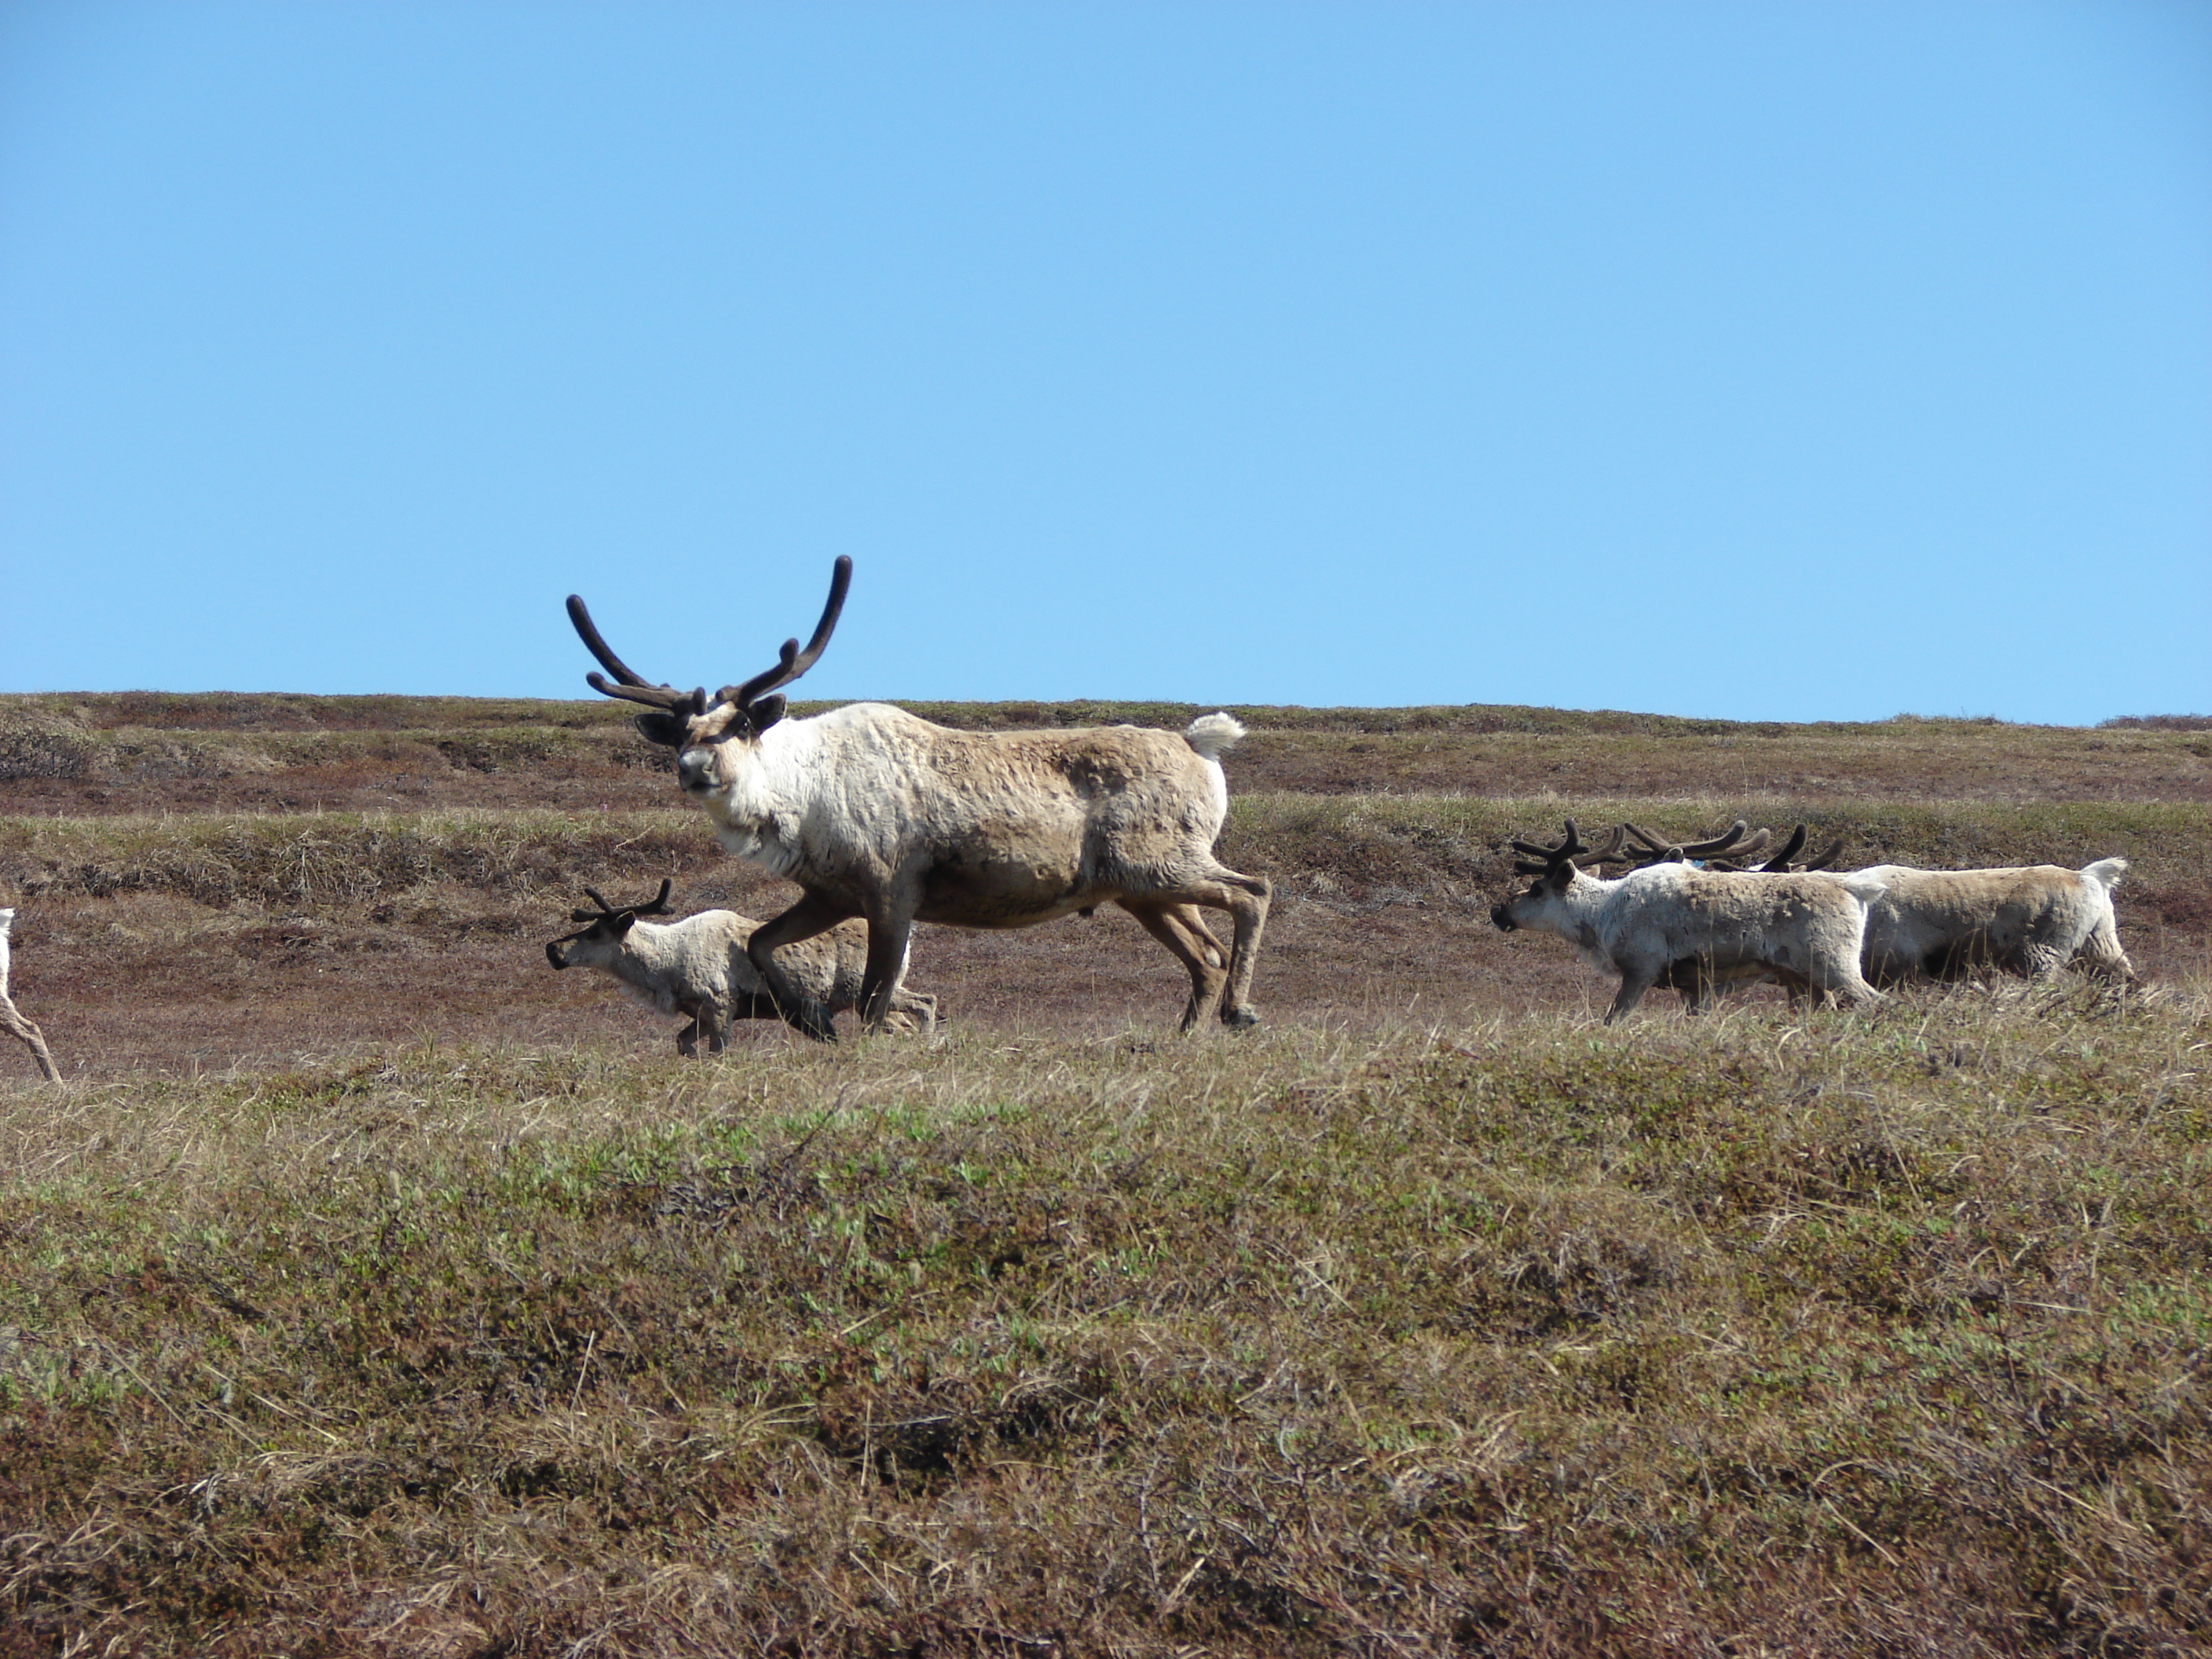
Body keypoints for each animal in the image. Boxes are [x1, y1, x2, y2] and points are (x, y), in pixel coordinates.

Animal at [545, 881, 936, 1053]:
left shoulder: (720, 1004)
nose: (553, 950)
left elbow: (719, 1053)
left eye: (596, 932)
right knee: (903, 1022)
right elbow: (683, 1043)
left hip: (862, 990)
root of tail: (909, 936)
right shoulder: (700, 1014)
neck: (667, 964)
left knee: (926, 1002)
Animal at [564, 559, 1270, 1038]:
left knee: (1252, 892)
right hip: (1139, 888)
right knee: (1205, 954)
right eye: (680, 732)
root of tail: (1202, 747)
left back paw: (1240, 1011)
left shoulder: (890, 891)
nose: (692, 769)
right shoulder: (829, 893)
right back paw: (1186, 1037)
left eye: (739, 725)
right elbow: (764, 944)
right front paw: (811, 1021)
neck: (805, 791)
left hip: (1158, 863)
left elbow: (877, 999)